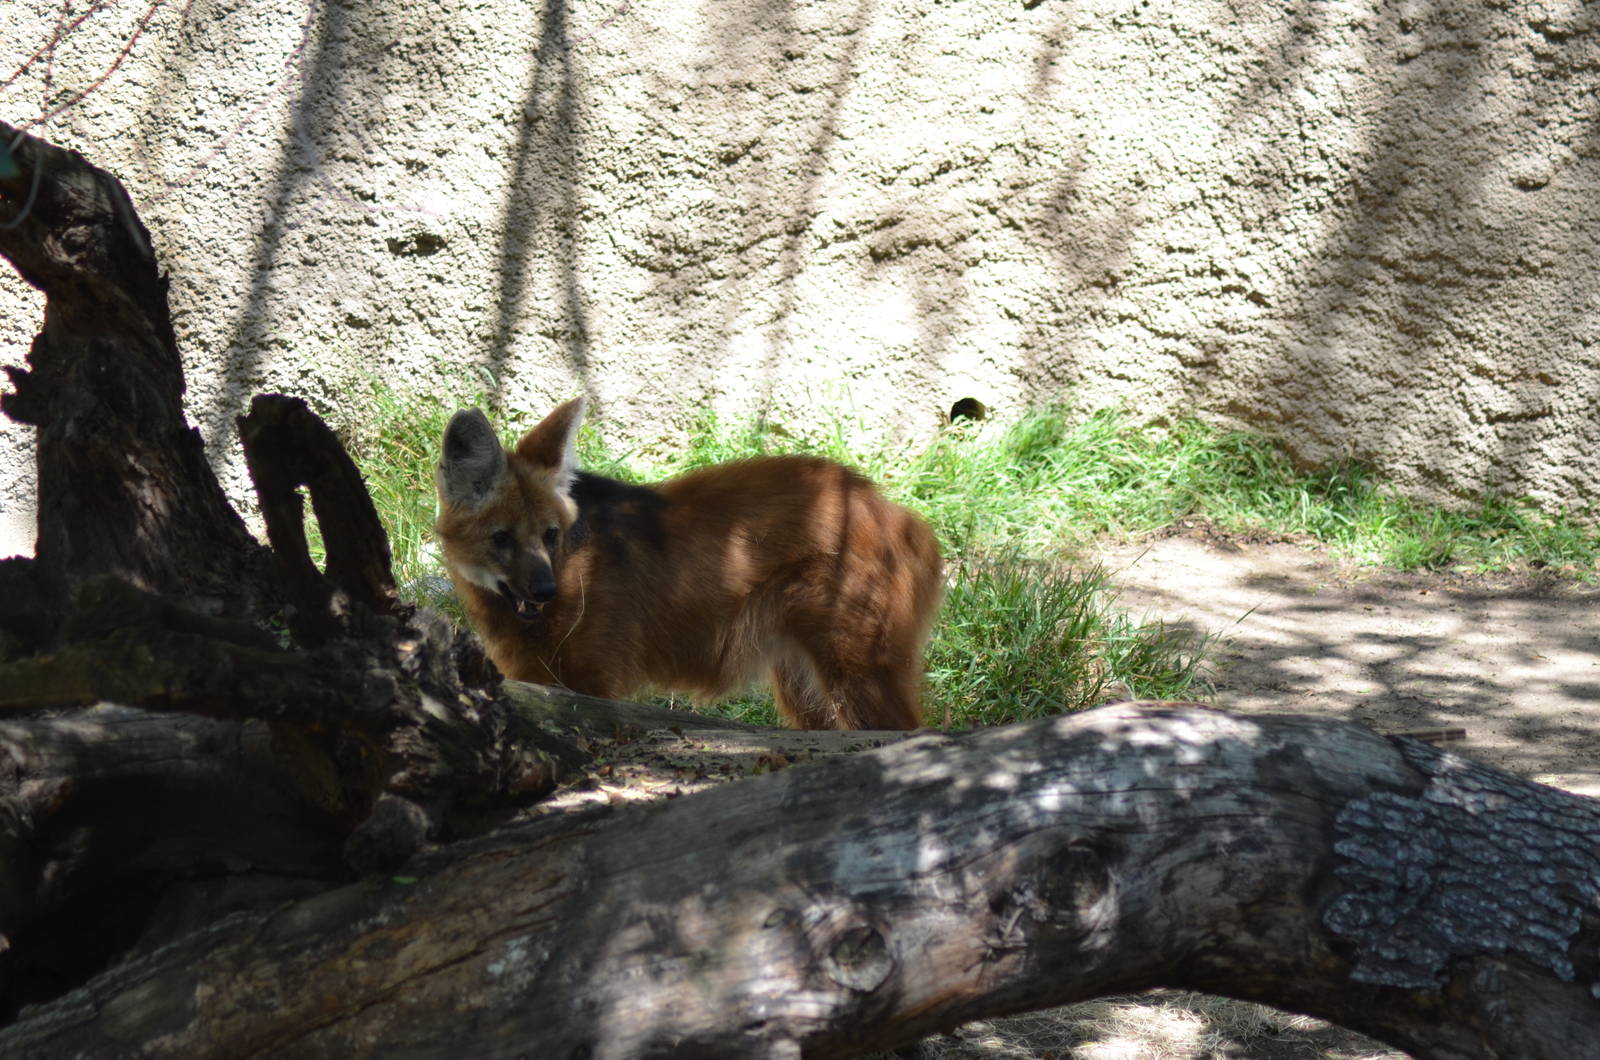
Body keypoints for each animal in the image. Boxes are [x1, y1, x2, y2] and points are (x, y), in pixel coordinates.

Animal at [433, 398, 943, 730]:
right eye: (501, 538)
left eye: (550, 535)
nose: (544, 591)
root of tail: (900, 513)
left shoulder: (590, 682)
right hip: (803, 682)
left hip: (854, 670)